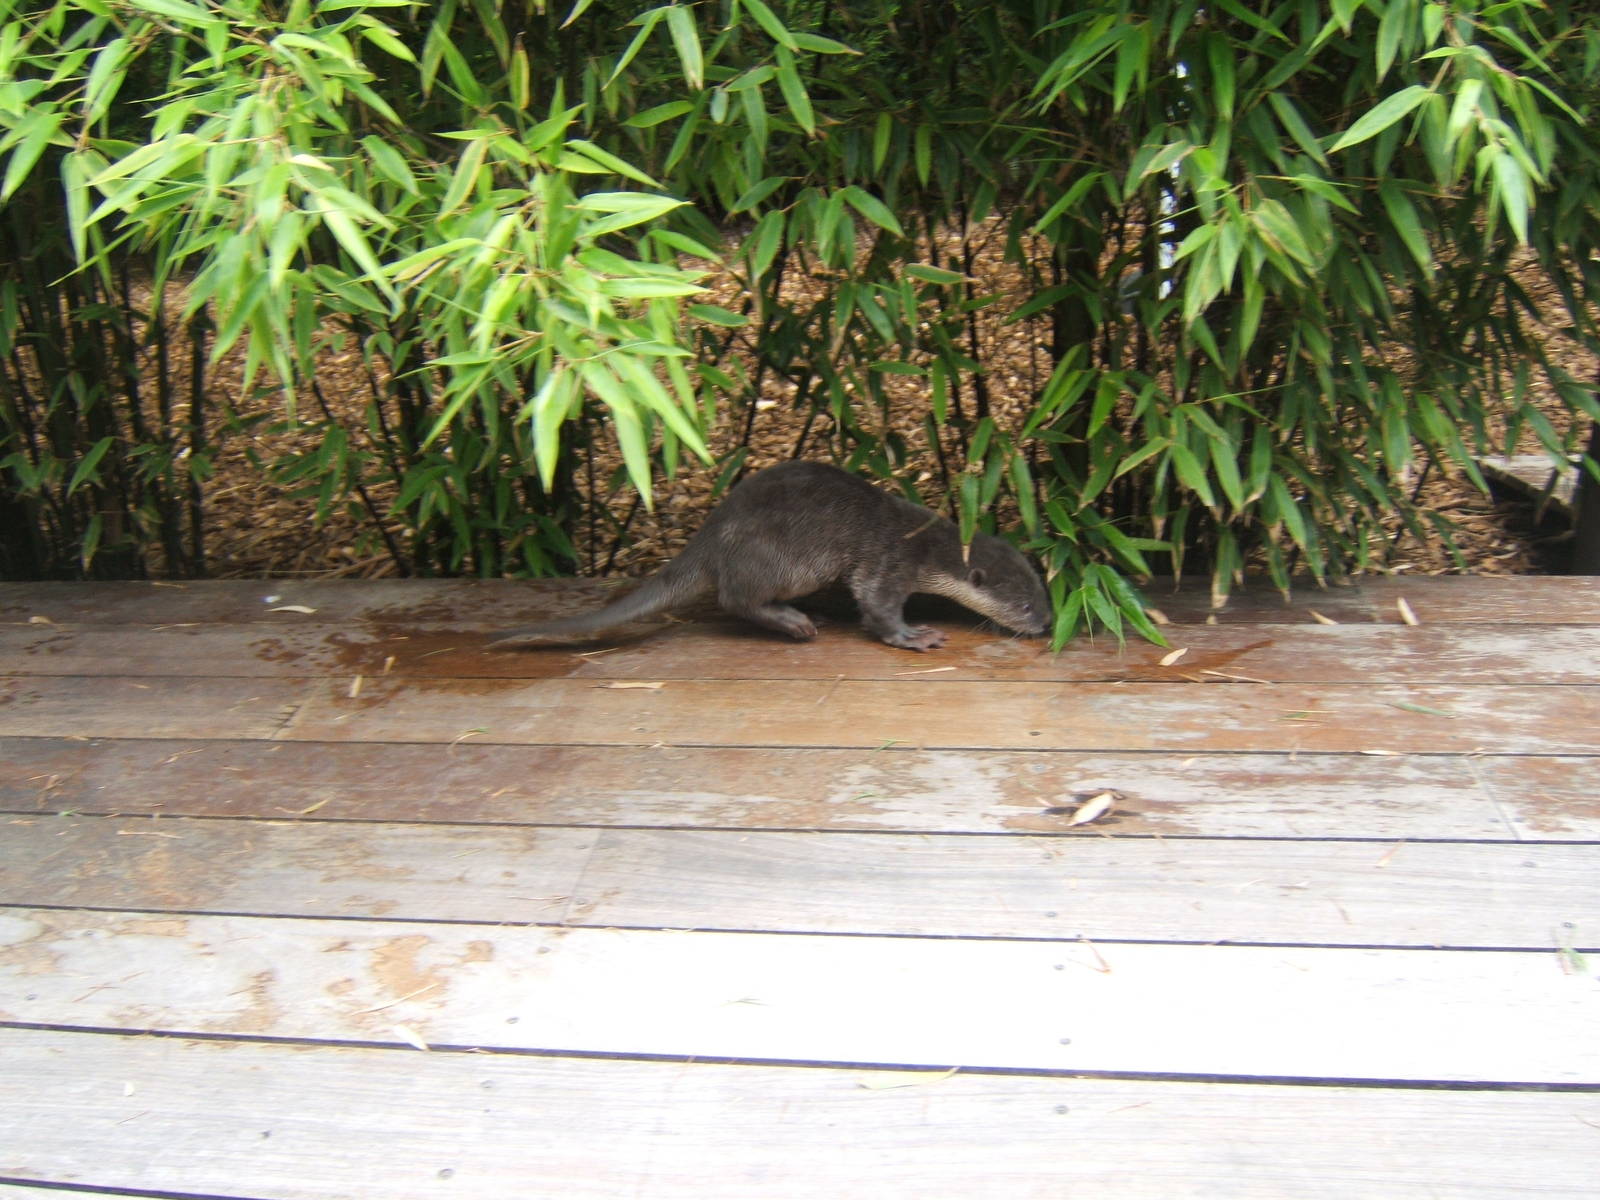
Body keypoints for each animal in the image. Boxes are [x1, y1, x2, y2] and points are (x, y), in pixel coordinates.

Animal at [489, 461, 1050, 651]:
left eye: (1043, 595)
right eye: (1024, 606)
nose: (1046, 625)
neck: (928, 544)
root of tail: (713, 533)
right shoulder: (890, 560)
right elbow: (876, 604)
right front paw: (913, 636)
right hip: (786, 559)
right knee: (736, 598)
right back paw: (795, 622)